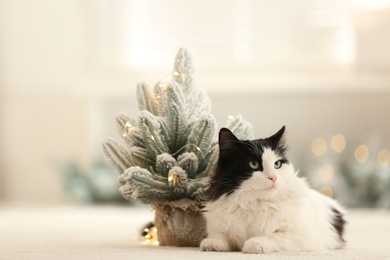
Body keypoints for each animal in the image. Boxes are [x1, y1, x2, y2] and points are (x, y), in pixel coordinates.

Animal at [200, 126, 346, 254]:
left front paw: (254, 244)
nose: (273, 177)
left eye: (277, 164)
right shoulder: (217, 227)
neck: (253, 203)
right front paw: (212, 244)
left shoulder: (302, 236)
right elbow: (219, 236)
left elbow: (272, 236)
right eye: (254, 164)